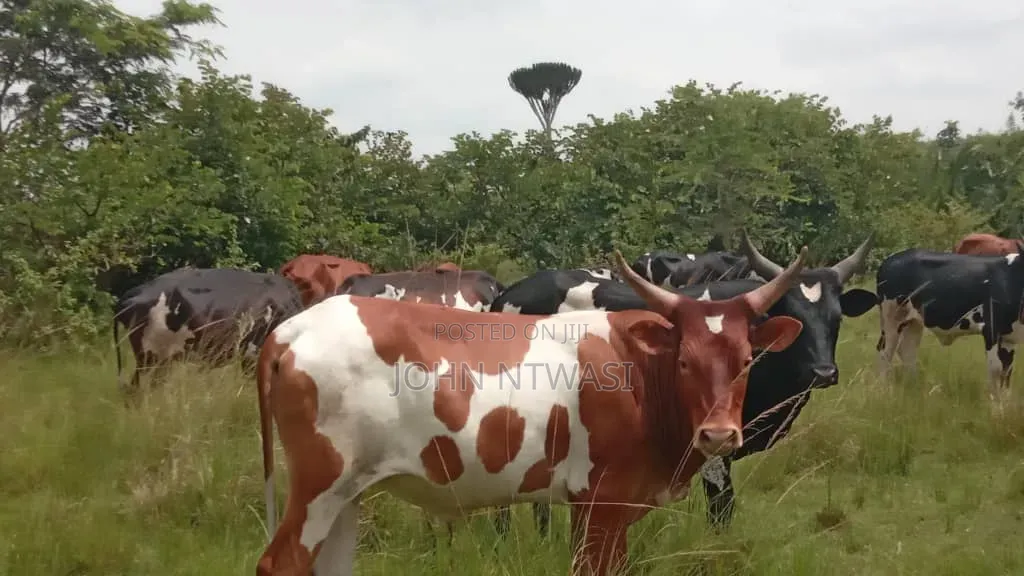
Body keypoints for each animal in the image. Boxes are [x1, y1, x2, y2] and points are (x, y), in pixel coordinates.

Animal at [875, 244, 1024, 402]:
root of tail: (890, 259)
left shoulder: (1010, 337)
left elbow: (1007, 370)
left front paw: (1005, 402)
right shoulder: (991, 328)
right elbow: (996, 368)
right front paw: (994, 404)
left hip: (913, 322)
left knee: (907, 351)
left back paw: (913, 387)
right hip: (891, 317)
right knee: (885, 351)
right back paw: (883, 390)